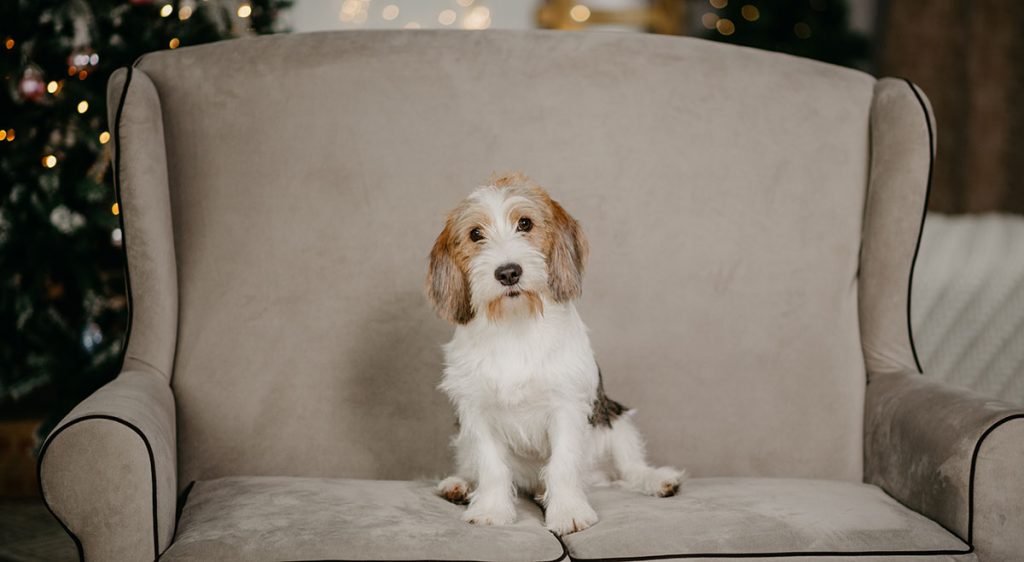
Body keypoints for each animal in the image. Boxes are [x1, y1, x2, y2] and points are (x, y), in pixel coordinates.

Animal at [425, 171, 688, 536]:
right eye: (475, 233)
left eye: (525, 223)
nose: (508, 272)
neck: (515, 324)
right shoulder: (476, 411)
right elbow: (491, 466)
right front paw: (491, 509)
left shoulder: (567, 405)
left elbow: (562, 464)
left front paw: (568, 512)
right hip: (464, 438)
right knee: (473, 467)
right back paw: (459, 485)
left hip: (615, 420)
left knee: (629, 468)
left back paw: (658, 479)